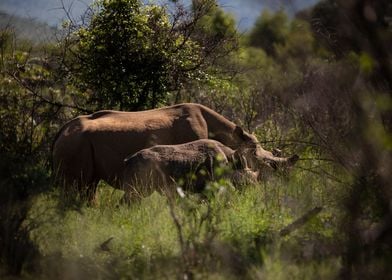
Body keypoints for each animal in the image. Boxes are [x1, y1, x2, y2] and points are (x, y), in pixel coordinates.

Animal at [52, 103, 298, 199]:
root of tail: (60, 131)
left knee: (89, 186)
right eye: (267, 163)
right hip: (75, 143)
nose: (284, 182)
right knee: (76, 187)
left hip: (78, 142)